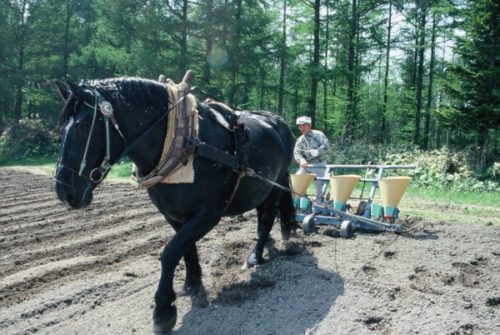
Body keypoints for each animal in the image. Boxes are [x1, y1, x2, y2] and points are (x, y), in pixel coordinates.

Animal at [53, 77, 296, 334]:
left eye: (82, 128)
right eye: (61, 129)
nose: (64, 192)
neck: (187, 143)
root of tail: (278, 120)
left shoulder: (208, 214)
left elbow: (170, 253)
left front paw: (164, 309)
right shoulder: (172, 214)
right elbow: (186, 249)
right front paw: (192, 283)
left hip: (277, 184)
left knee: (267, 218)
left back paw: (256, 255)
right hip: (261, 188)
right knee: (261, 216)